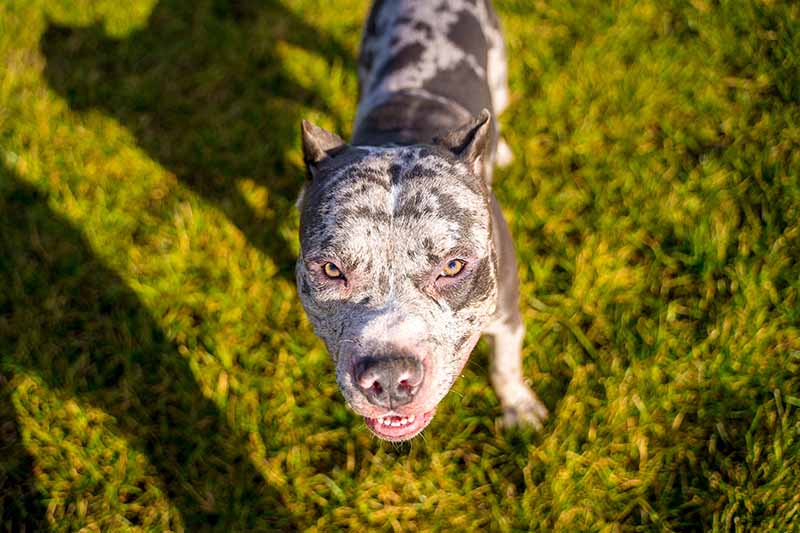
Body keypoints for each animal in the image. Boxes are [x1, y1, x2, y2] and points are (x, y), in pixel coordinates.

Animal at [296, 0, 548, 440]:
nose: (389, 377)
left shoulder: (506, 314)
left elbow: (505, 365)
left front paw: (518, 405)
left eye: (453, 267)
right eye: (330, 270)